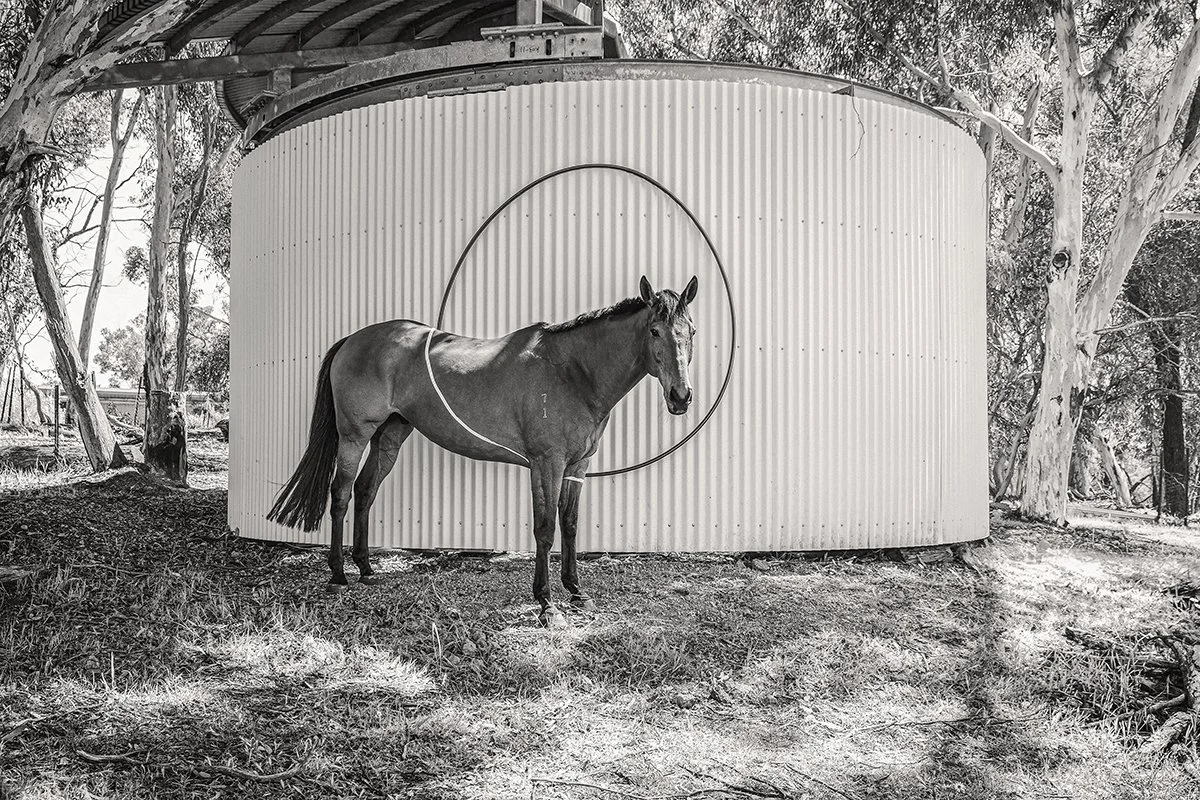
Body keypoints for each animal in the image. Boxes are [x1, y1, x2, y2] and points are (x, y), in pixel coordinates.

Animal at [267, 276, 699, 627]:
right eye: (655, 330)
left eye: (691, 330)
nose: (681, 396)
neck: (572, 371)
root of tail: (352, 340)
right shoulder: (546, 463)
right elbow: (545, 529)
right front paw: (547, 604)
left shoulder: (577, 466)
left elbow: (571, 525)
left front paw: (576, 591)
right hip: (355, 436)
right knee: (340, 494)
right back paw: (339, 575)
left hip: (389, 436)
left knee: (365, 491)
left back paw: (367, 568)